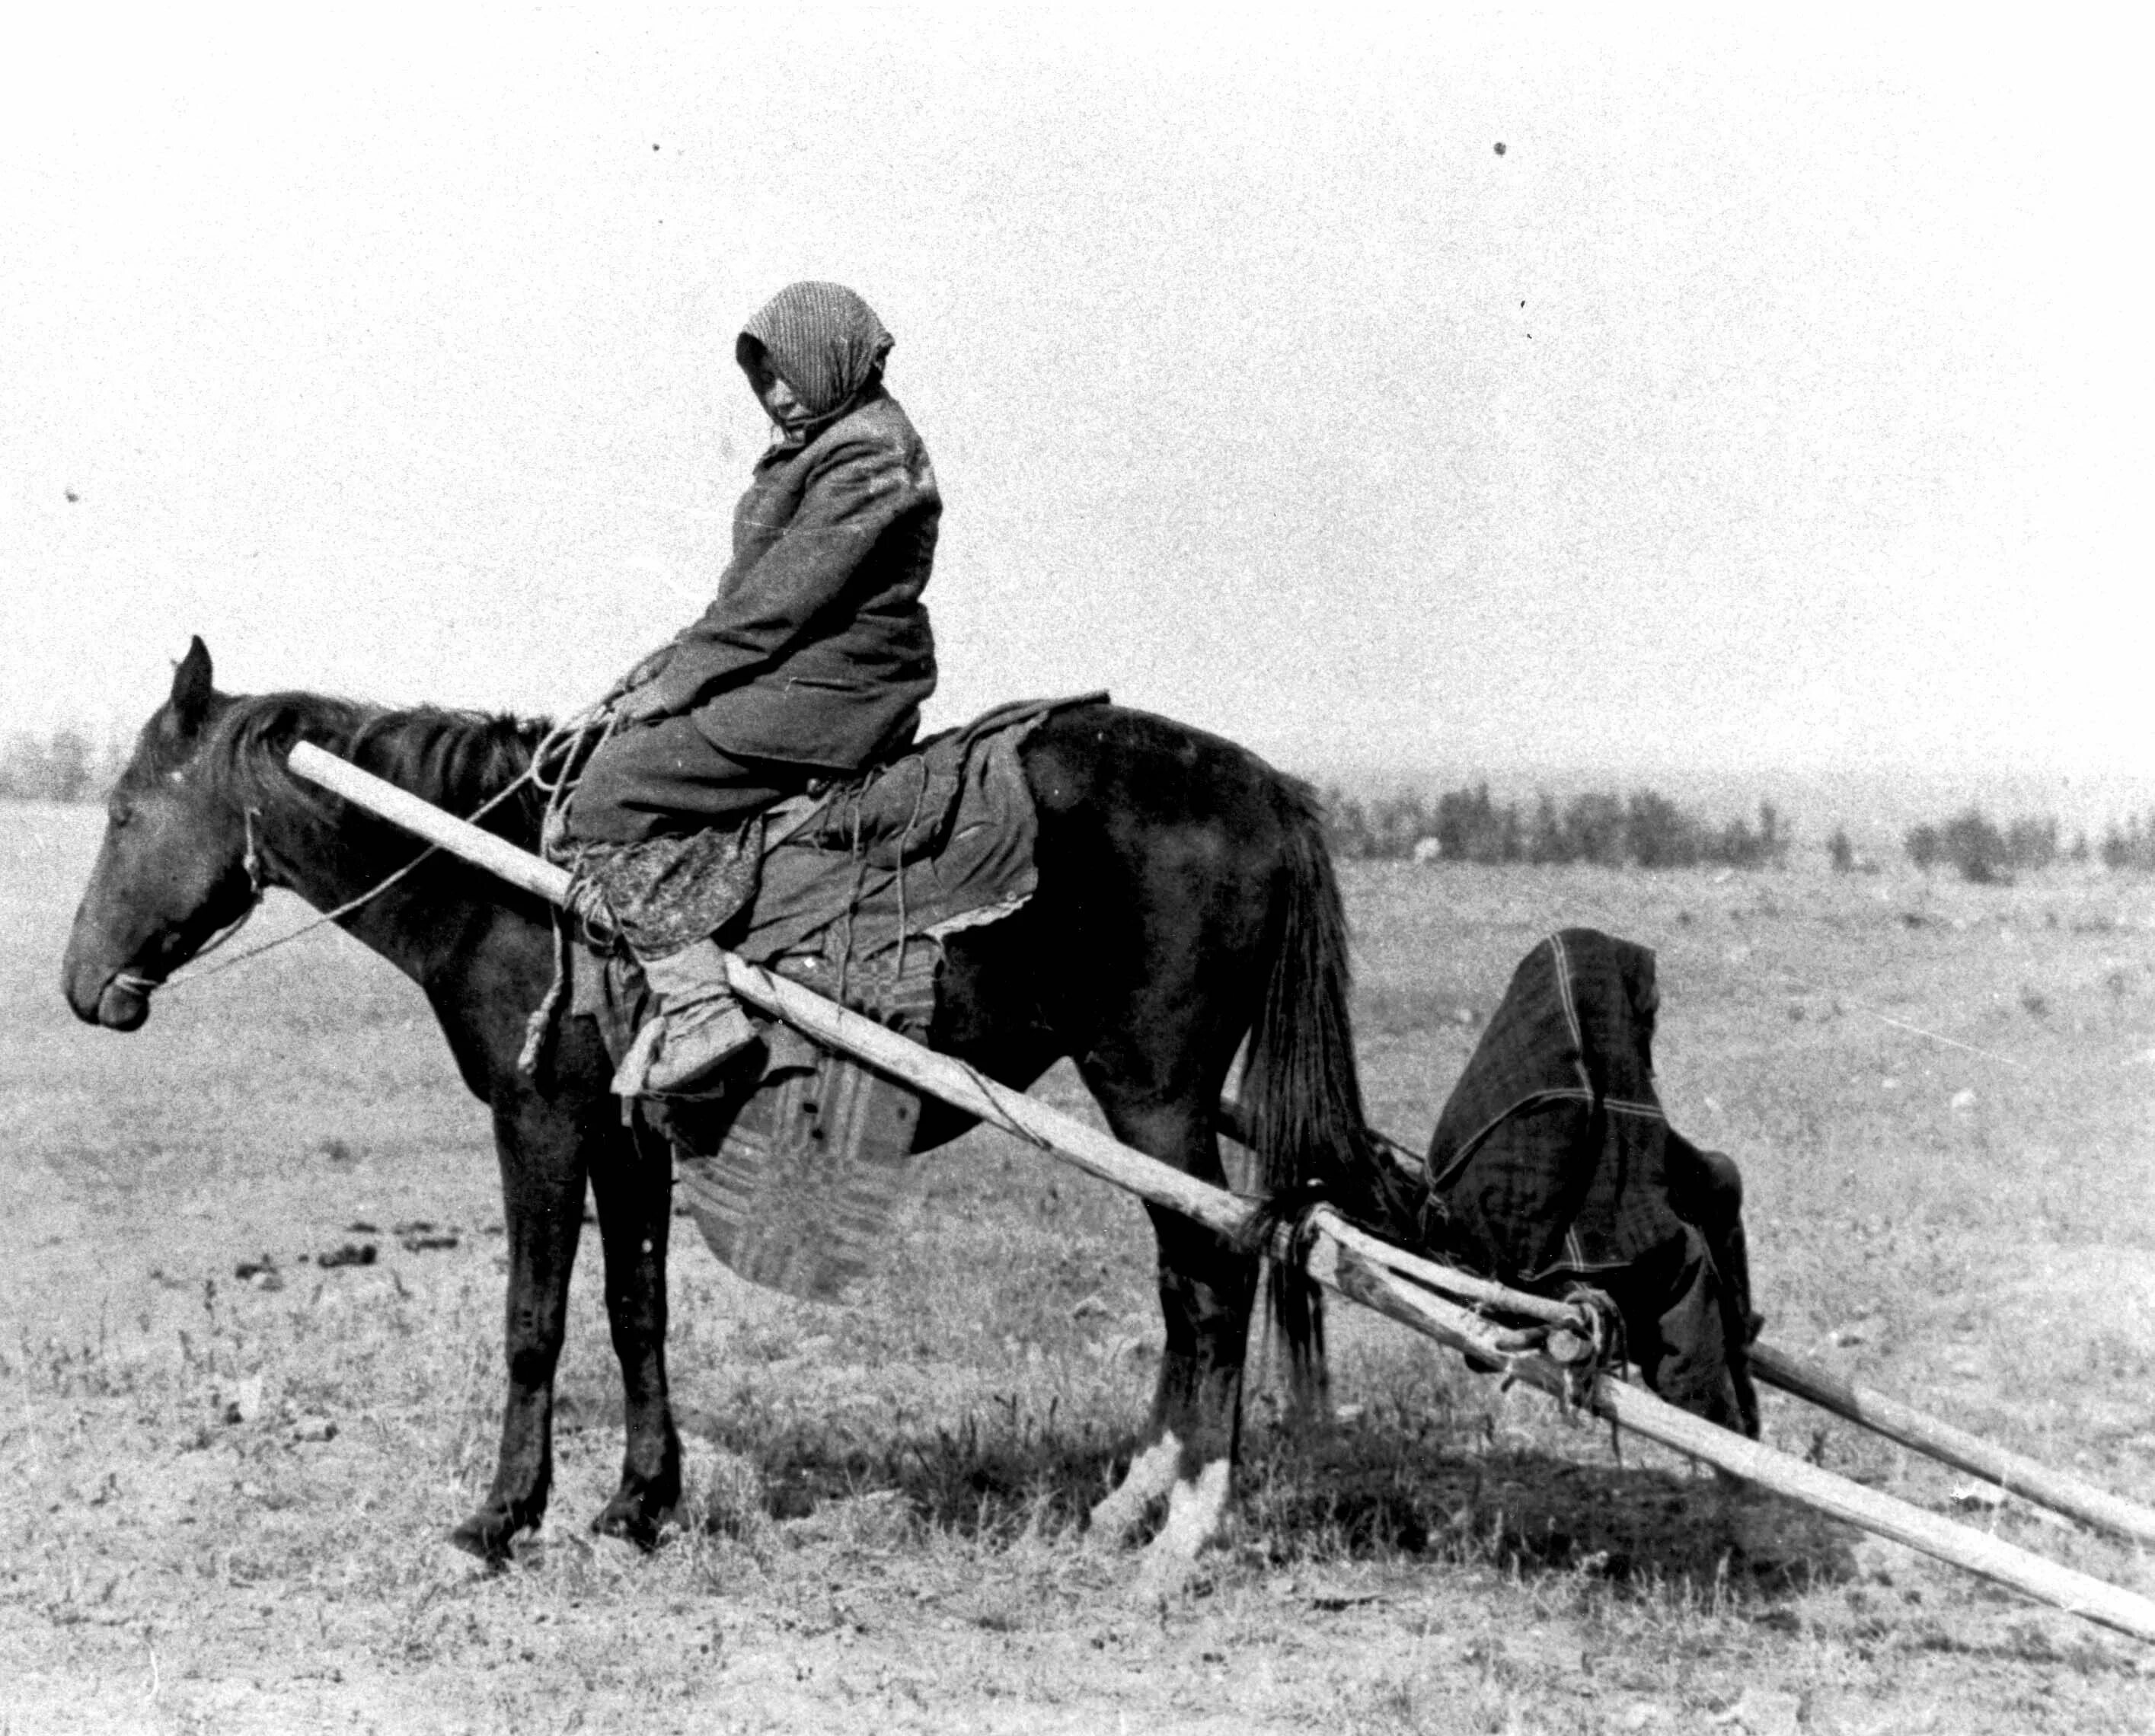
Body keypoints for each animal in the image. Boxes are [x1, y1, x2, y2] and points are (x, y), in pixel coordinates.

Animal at [67, 646, 1387, 1584]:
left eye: (125, 813)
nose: (83, 990)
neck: (497, 878)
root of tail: (1267, 788)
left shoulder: (540, 1120)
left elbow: (535, 1322)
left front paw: (498, 1521)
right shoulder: (627, 1133)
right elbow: (636, 1310)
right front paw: (637, 1507)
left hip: (1153, 1093)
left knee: (1212, 1275)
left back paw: (1183, 1529)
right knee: (1185, 1281)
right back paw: (1126, 1505)